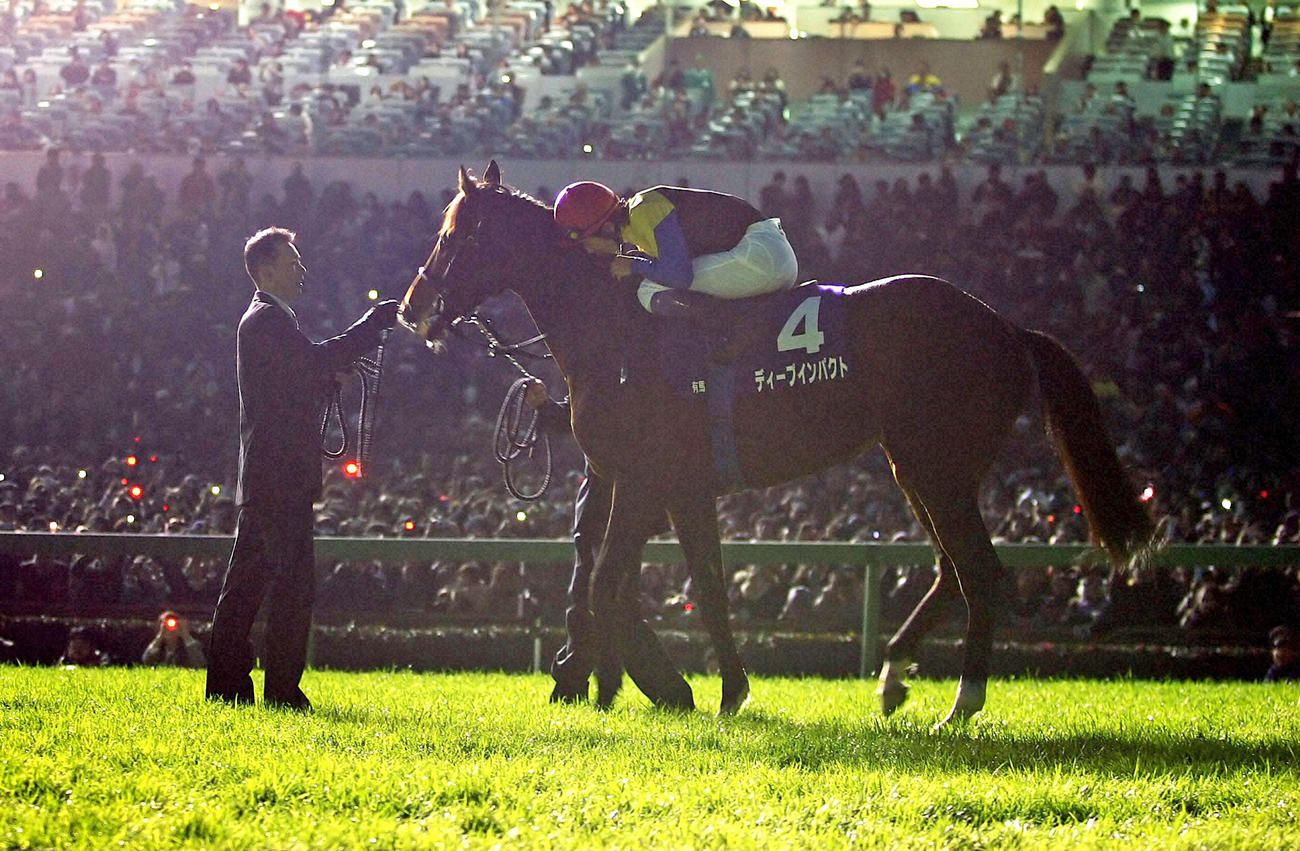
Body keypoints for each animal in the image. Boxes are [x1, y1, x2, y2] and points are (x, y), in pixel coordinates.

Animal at [401, 161, 1154, 727]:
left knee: (980, 570)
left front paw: (618, 687)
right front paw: (727, 691)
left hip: (935, 464)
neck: (613, 329)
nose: (413, 307)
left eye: (453, 235)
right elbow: (703, 584)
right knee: (952, 570)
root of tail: (1005, 326)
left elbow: (609, 577)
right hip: (918, 466)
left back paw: (961, 704)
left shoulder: (643, 478)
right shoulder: (680, 488)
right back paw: (893, 675)